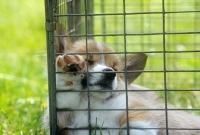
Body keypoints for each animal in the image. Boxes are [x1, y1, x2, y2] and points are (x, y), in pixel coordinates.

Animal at [43, 22, 200, 135]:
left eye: (115, 69)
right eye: (88, 61)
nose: (110, 73)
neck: (92, 101)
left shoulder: (134, 107)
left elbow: (135, 125)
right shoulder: (64, 118)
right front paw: (70, 70)